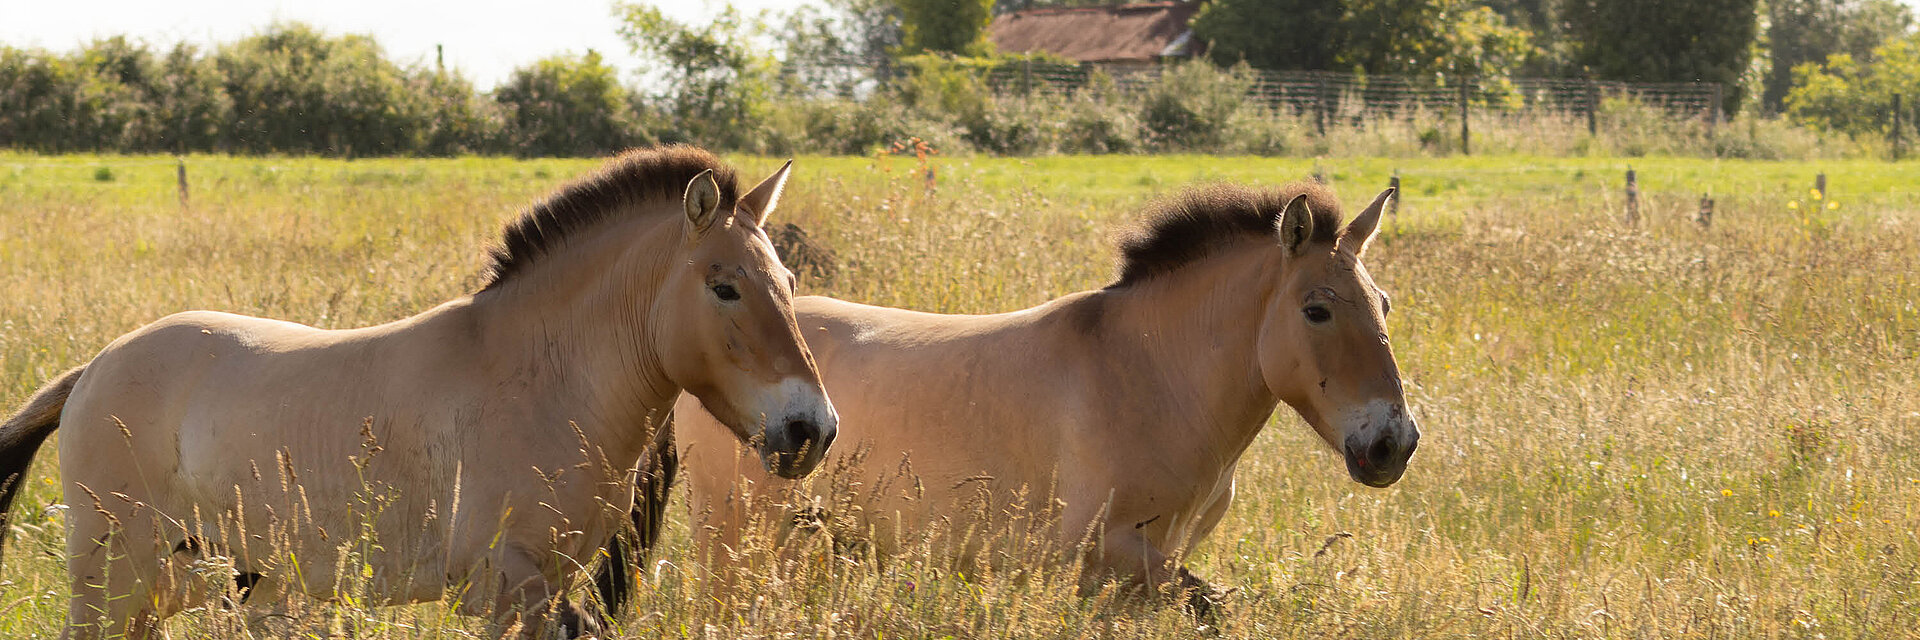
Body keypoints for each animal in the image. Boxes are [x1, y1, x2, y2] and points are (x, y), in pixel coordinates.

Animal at [0, 145, 839, 639]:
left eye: (791, 282)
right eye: (725, 287)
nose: (812, 429)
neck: (540, 382)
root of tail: (95, 369)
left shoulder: (551, 591)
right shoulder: (505, 594)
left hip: (178, 584)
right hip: (113, 586)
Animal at [622, 181, 1417, 614]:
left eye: (1382, 303)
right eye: (1317, 310)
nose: (1393, 443)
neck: (1148, 375)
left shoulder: (1141, 573)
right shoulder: (1106, 556)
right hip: (735, 546)